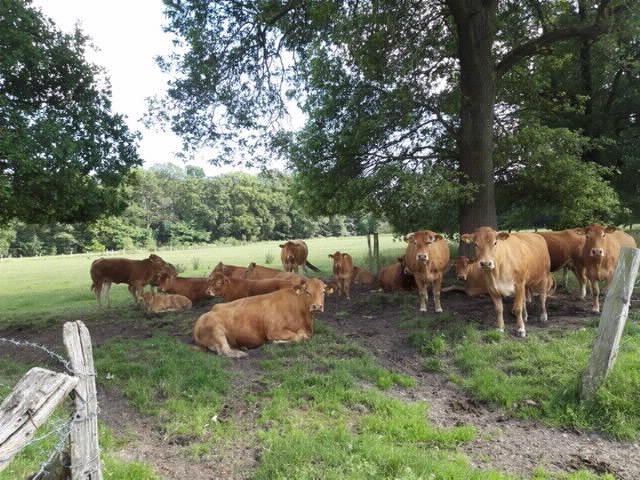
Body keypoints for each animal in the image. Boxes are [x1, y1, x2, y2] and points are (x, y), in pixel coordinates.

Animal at [194, 278, 336, 356]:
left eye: (323, 292)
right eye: (307, 292)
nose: (317, 306)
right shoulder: (274, 331)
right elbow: (298, 336)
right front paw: (276, 342)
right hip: (216, 329)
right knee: (224, 350)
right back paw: (240, 353)